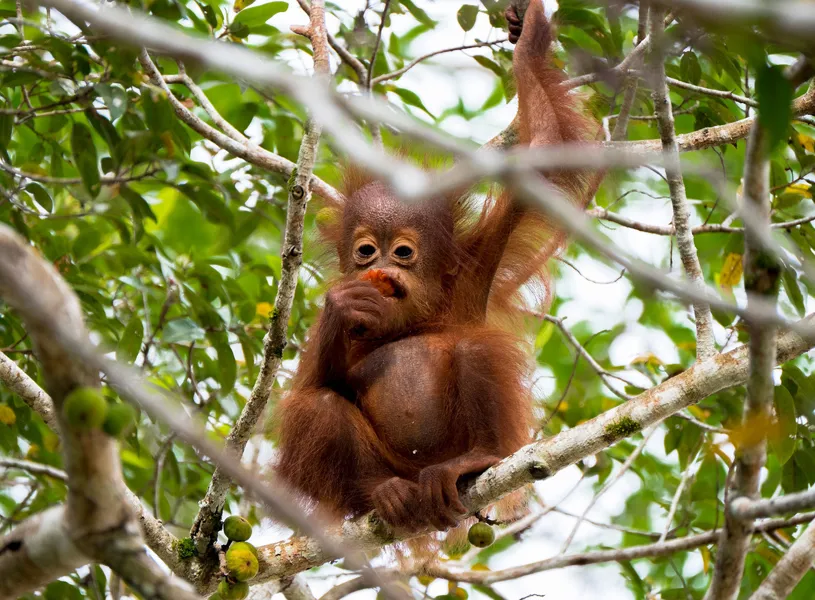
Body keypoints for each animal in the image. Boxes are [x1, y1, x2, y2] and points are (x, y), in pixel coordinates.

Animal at [274, 1, 598, 533]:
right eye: (366, 251)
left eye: (403, 252)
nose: (384, 267)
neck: (411, 320)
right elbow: (315, 383)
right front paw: (344, 305)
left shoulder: (476, 265)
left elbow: (544, 153)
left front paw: (528, 35)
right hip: (391, 470)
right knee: (314, 407)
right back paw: (380, 492)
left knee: (473, 346)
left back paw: (476, 459)